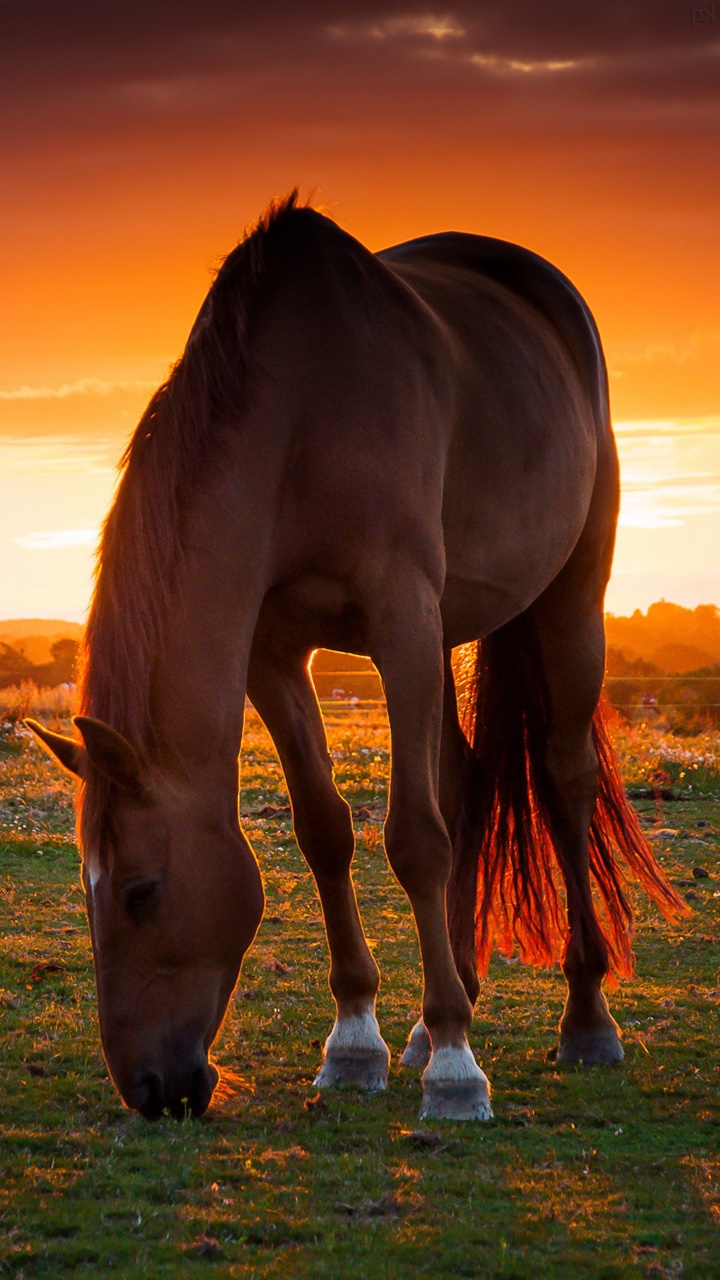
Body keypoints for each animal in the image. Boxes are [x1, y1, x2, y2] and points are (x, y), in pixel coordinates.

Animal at [26, 192, 676, 1121]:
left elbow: (414, 838)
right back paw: (443, 1009)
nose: (149, 1089)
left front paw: (456, 1070)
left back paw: (582, 1021)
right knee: (465, 780)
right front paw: (358, 1043)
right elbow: (325, 829)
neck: (300, 417)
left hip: (568, 600)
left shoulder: (399, 617)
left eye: (140, 892)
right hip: (445, 634)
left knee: (563, 779)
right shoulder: (275, 652)